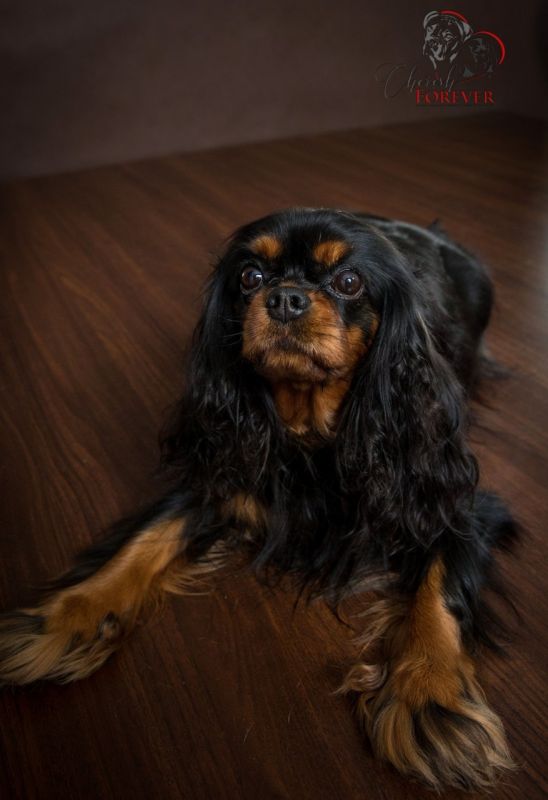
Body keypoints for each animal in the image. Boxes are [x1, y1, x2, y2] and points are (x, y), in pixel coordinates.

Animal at [0, 208, 517, 790]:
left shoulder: (451, 504)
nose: (285, 298)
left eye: (348, 282)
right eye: (250, 277)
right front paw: (65, 618)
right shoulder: (223, 470)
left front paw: (427, 697)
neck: (310, 430)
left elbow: (439, 593)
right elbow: (143, 541)